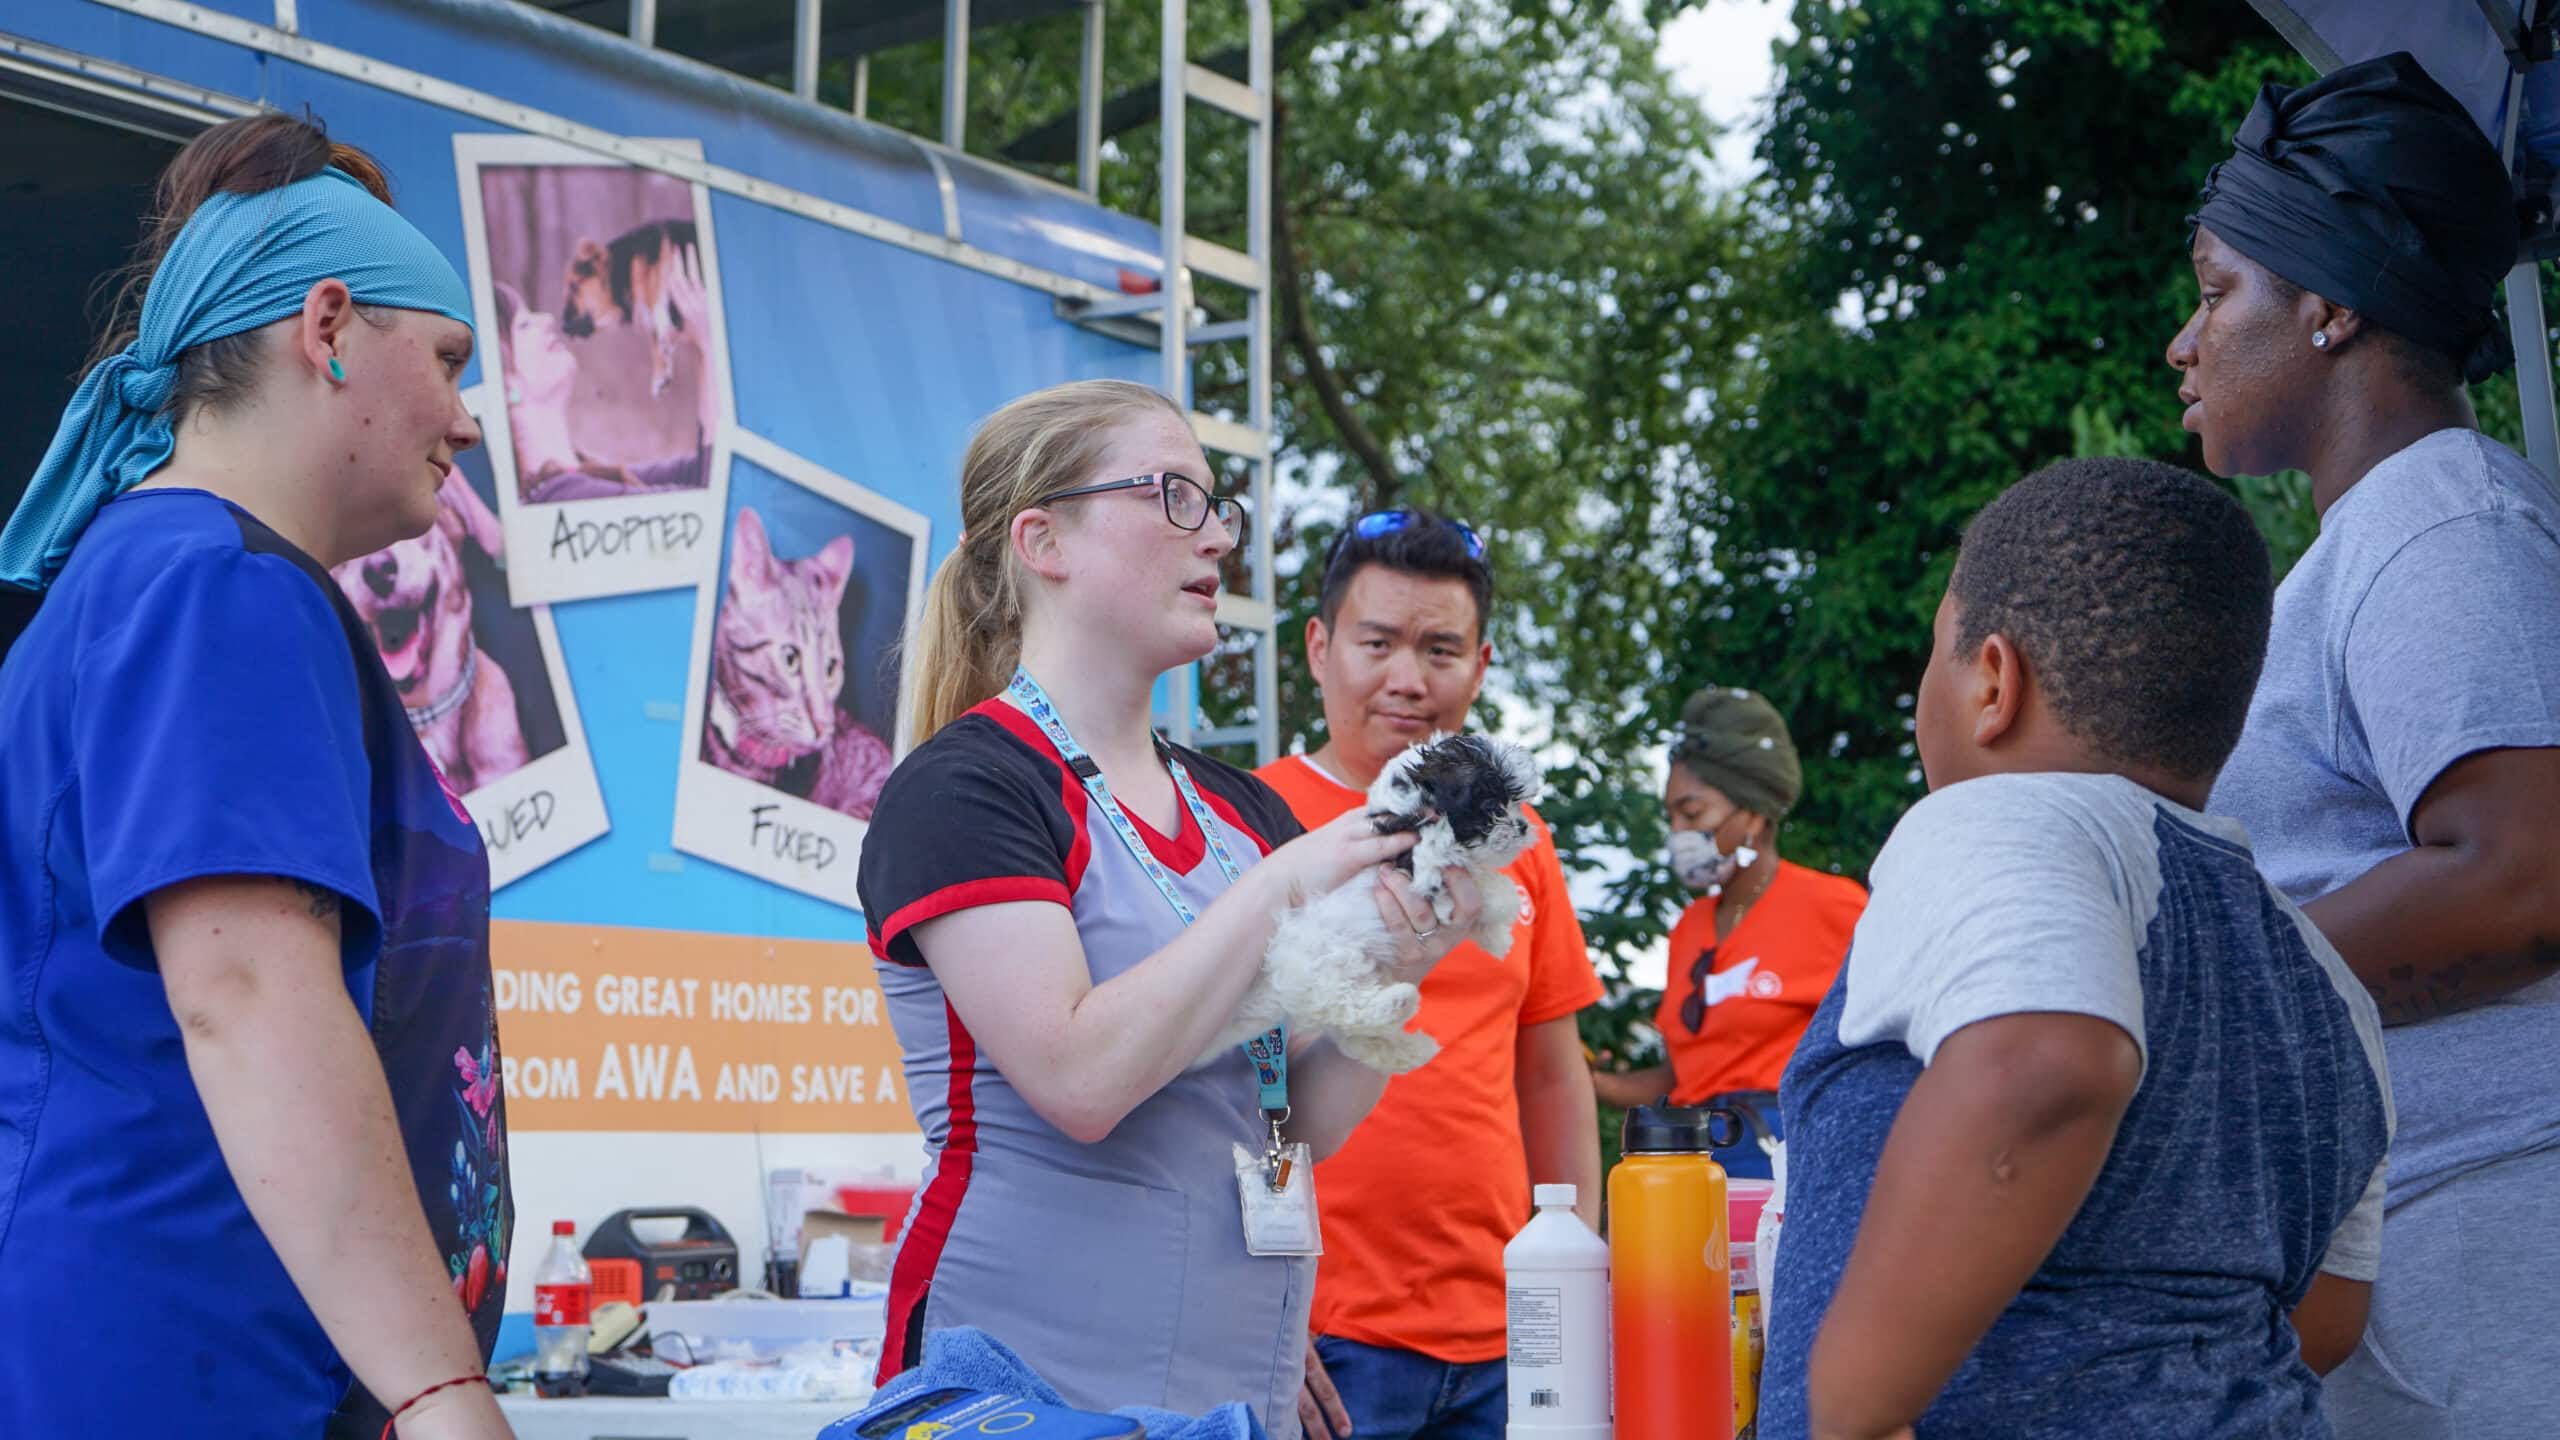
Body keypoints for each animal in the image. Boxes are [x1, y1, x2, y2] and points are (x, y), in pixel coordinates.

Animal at [1198, 732, 1536, 1071]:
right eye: (1491, 804)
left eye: (1516, 803)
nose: (1523, 826)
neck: (1407, 809)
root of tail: (1272, 976)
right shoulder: (1421, 860)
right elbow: (1479, 882)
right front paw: (1502, 906)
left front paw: (1495, 938)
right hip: (1328, 967)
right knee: (1346, 1009)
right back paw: (1400, 1001)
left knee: (1356, 1040)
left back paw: (1414, 1047)